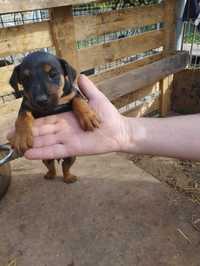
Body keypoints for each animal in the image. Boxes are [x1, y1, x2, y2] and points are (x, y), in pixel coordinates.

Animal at [8, 51, 101, 183]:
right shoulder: (26, 104)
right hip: (45, 158)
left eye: (53, 74)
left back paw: (69, 178)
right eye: (26, 78)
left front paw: (88, 116)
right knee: (51, 166)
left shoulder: (73, 93)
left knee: (65, 166)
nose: (41, 100)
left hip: (71, 156)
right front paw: (22, 137)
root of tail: (58, 157)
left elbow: (78, 100)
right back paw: (50, 175)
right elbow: (22, 117)